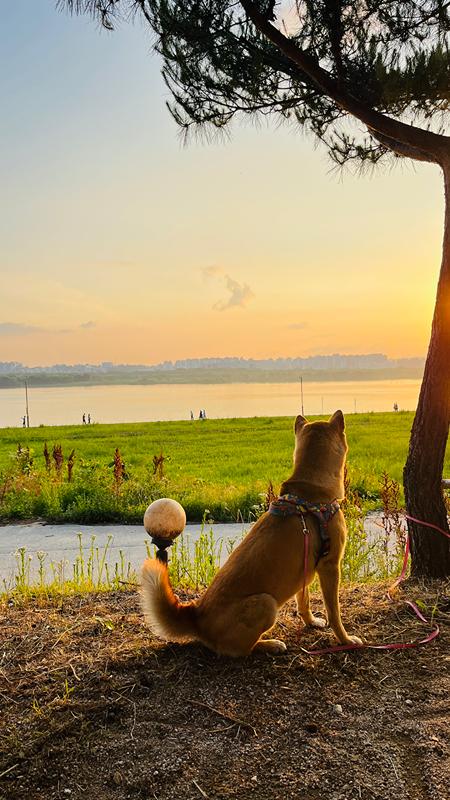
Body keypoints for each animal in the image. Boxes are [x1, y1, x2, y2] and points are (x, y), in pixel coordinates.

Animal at [141, 412, 362, 656]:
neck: (310, 494)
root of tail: (196, 616)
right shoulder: (329, 566)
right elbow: (335, 614)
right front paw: (345, 640)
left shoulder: (307, 569)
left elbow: (303, 603)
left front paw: (311, 622)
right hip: (266, 603)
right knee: (243, 649)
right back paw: (270, 644)